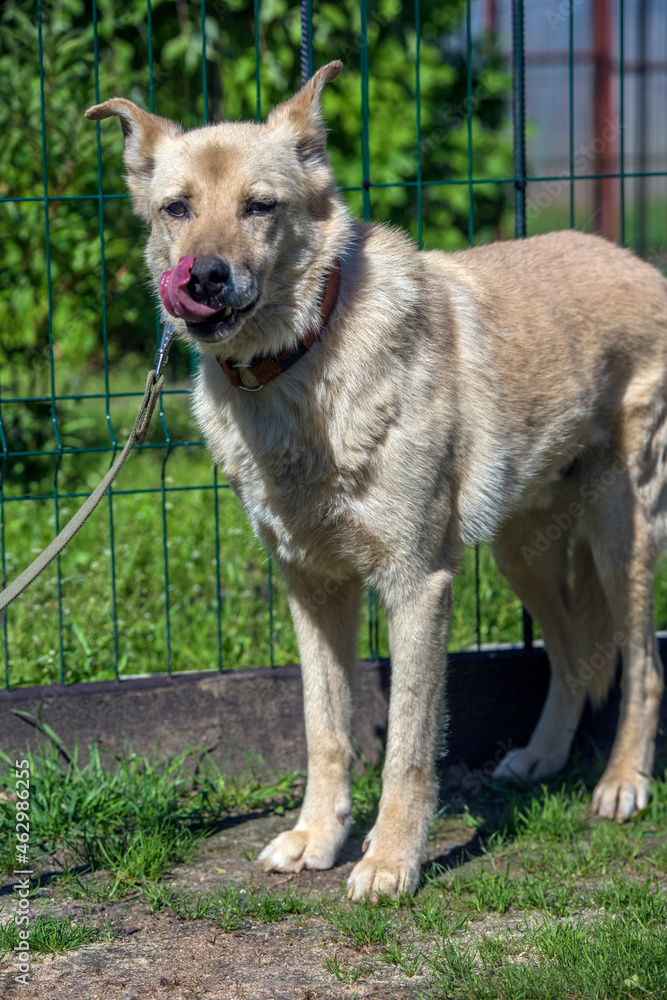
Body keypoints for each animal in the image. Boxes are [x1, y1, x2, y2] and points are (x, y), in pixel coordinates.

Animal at [86, 60, 664, 900]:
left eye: (260, 207)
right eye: (176, 208)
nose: (203, 277)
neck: (298, 365)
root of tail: (633, 260)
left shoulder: (416, 585)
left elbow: (408, 753)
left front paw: (391, 861)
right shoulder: (311, 587)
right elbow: (324, 729)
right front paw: (314, 838)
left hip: (624, 538)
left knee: (642, 666)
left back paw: (621, 783)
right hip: (520, 551)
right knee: (573, 656)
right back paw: (541, 757)